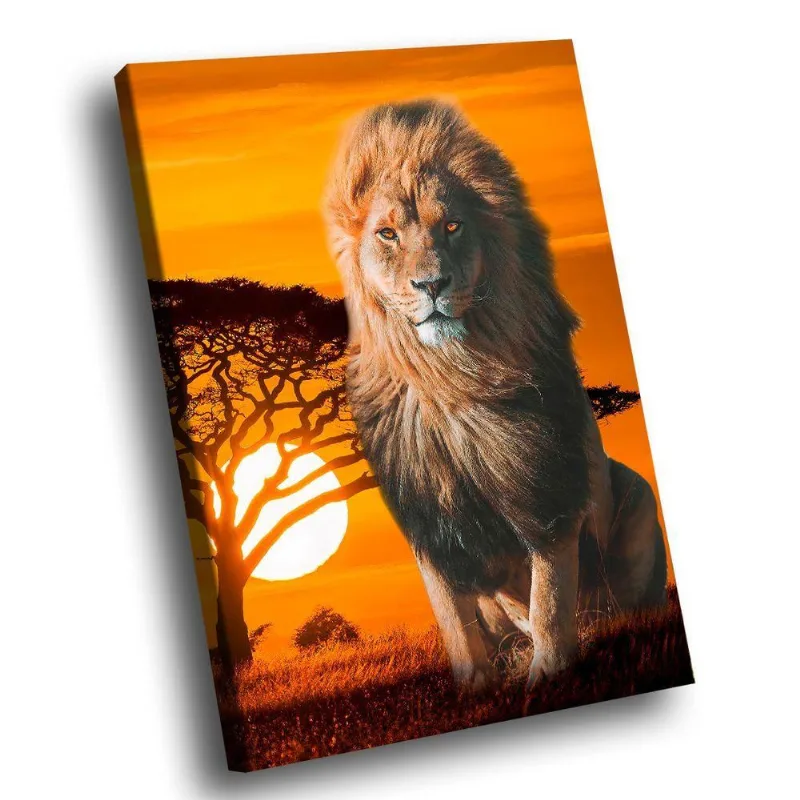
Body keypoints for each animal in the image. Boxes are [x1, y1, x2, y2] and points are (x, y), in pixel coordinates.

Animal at [324, 100, 666, 692]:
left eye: (453, 226)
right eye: (387, 235)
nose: (431, 285)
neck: (451, 375)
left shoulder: (547, 490)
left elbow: (549, 597)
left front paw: (548, 676)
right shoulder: (427, 518)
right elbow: (453, 619)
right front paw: (475, 689)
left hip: (639, 493)